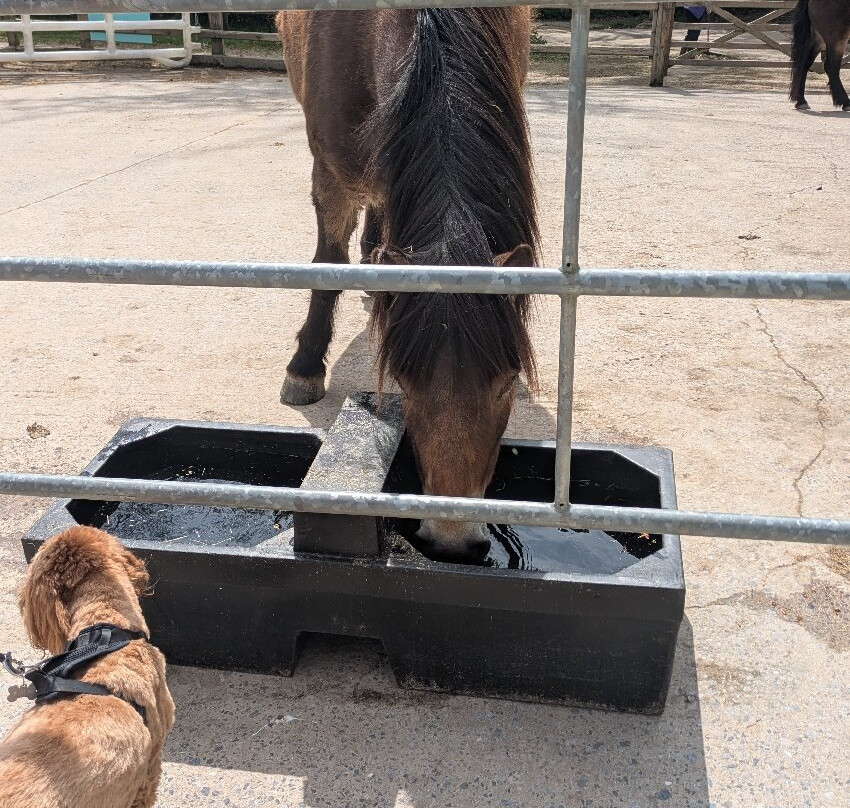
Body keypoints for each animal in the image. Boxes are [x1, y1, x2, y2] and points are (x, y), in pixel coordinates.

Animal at [276, 8, 539, 563]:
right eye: (404, 379)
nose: (453, 542)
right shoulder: (329, 174)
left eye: (507, 382)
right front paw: (305, 368)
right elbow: (327, 267)